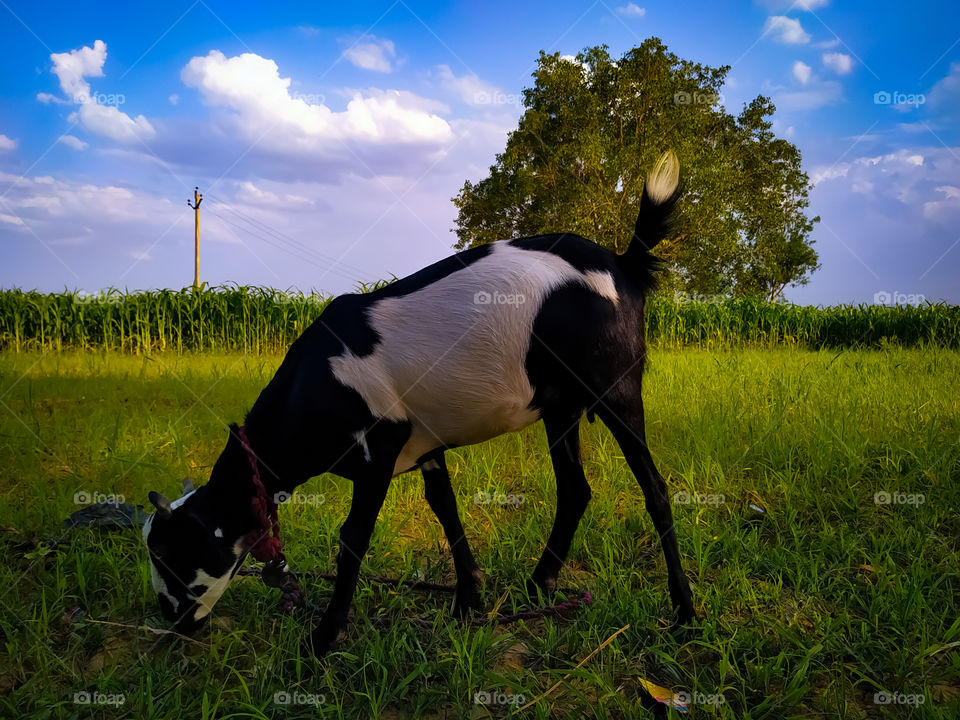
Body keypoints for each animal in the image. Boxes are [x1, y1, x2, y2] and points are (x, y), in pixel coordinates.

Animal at [143, 151, 695, 654]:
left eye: (170, 556)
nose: (173, 620)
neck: (315, 383)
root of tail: (621, 263)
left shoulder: (379, 449)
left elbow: (353, 538)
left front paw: (324, 637)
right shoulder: (424, 444)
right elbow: (445, 510)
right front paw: (469, 601)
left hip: (616, 389)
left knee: (655, 490)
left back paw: (684, 612)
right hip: (560, 407)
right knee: (575, 490)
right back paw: (538, 585)